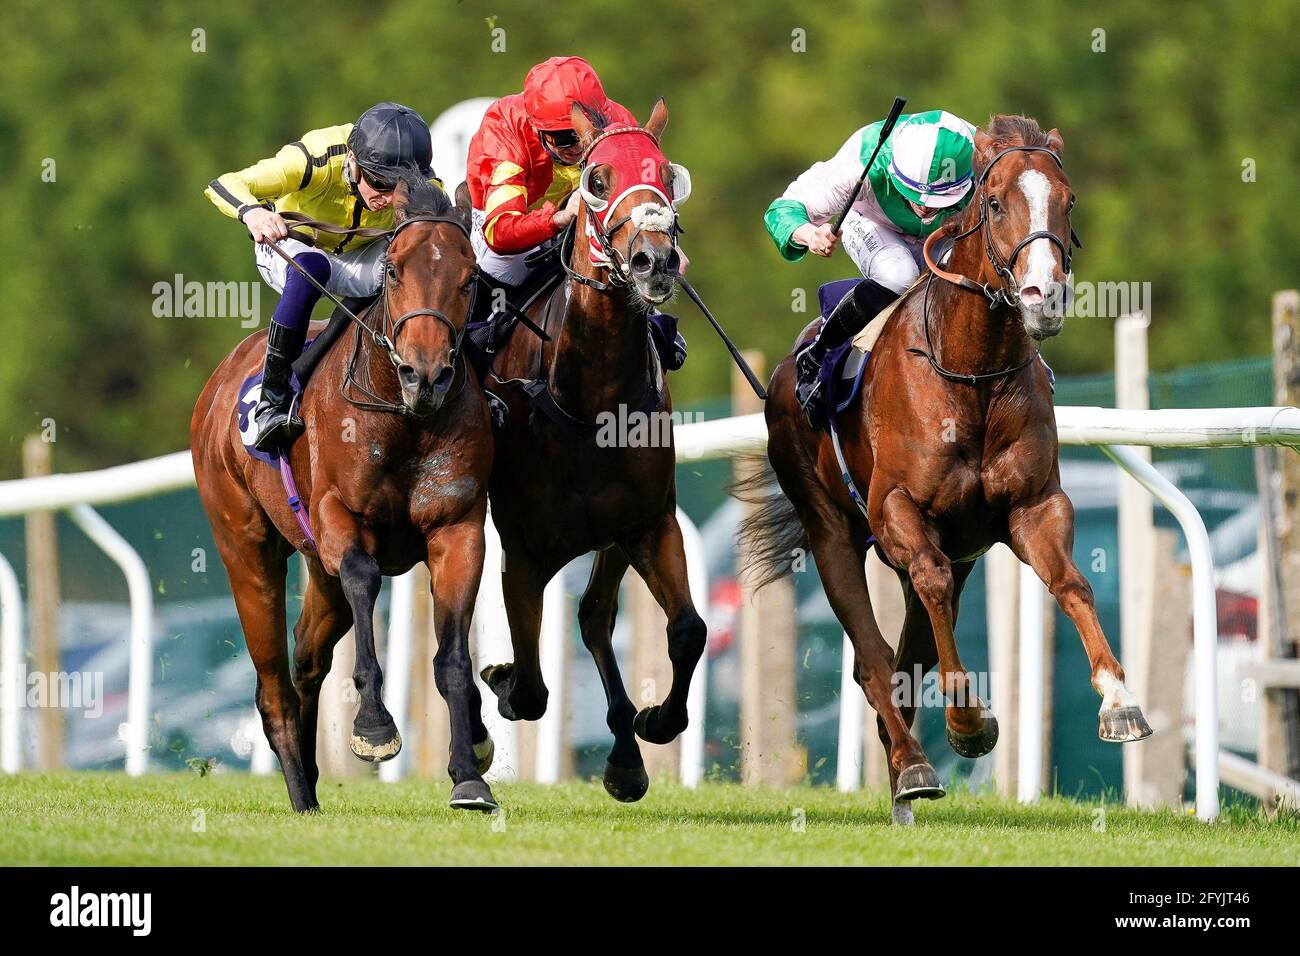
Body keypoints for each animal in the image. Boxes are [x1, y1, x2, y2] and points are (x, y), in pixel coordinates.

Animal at [189, 178, 499, 816]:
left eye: (469, 278)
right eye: (395, 271)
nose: (425, 375)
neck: (403, 417)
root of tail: (217, 385)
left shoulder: (458, 529)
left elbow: (454, 659)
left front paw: (468, 772)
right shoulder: (339, 519)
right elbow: (363, 575)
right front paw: (375, 727)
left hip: (315, 568)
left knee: (307, 659)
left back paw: (310, 777)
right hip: (246, 551)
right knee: (273, 686)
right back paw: (300, 795)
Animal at [473, 98, 707, 801]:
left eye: (666, 174)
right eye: (597, 179)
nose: (656, 261)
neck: (590, 400)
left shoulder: (648, 525)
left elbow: (687, 630)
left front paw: (655, 723)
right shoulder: (524, 551)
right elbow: (528, 687)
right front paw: (498, 684)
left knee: (596, 616)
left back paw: (627, 754)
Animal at [748, 117, 1154, 822]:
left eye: (1068, 201)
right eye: (993, 204)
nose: (1042, 298)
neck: (972, 373)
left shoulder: (1033, 505)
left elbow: (1072, 583)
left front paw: (1119, 700)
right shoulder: (898, 512)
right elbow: (925, 595)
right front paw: (967, 722)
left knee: (906, 658)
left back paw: (902, 775)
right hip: (830, 533)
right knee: (874, 659)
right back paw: (913, 766)